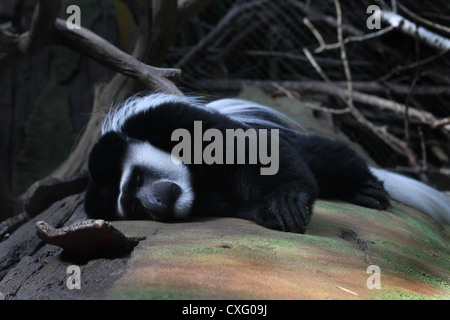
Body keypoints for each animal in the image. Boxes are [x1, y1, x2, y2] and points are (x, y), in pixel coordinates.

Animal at [85, 92, 450, 232]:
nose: (155, 203)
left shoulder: (164, 118)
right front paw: (269, 212)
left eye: (137, 180)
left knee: (321, 156)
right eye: (134, 207)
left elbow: (245, 147)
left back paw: (363, 187)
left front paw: (287, 201)